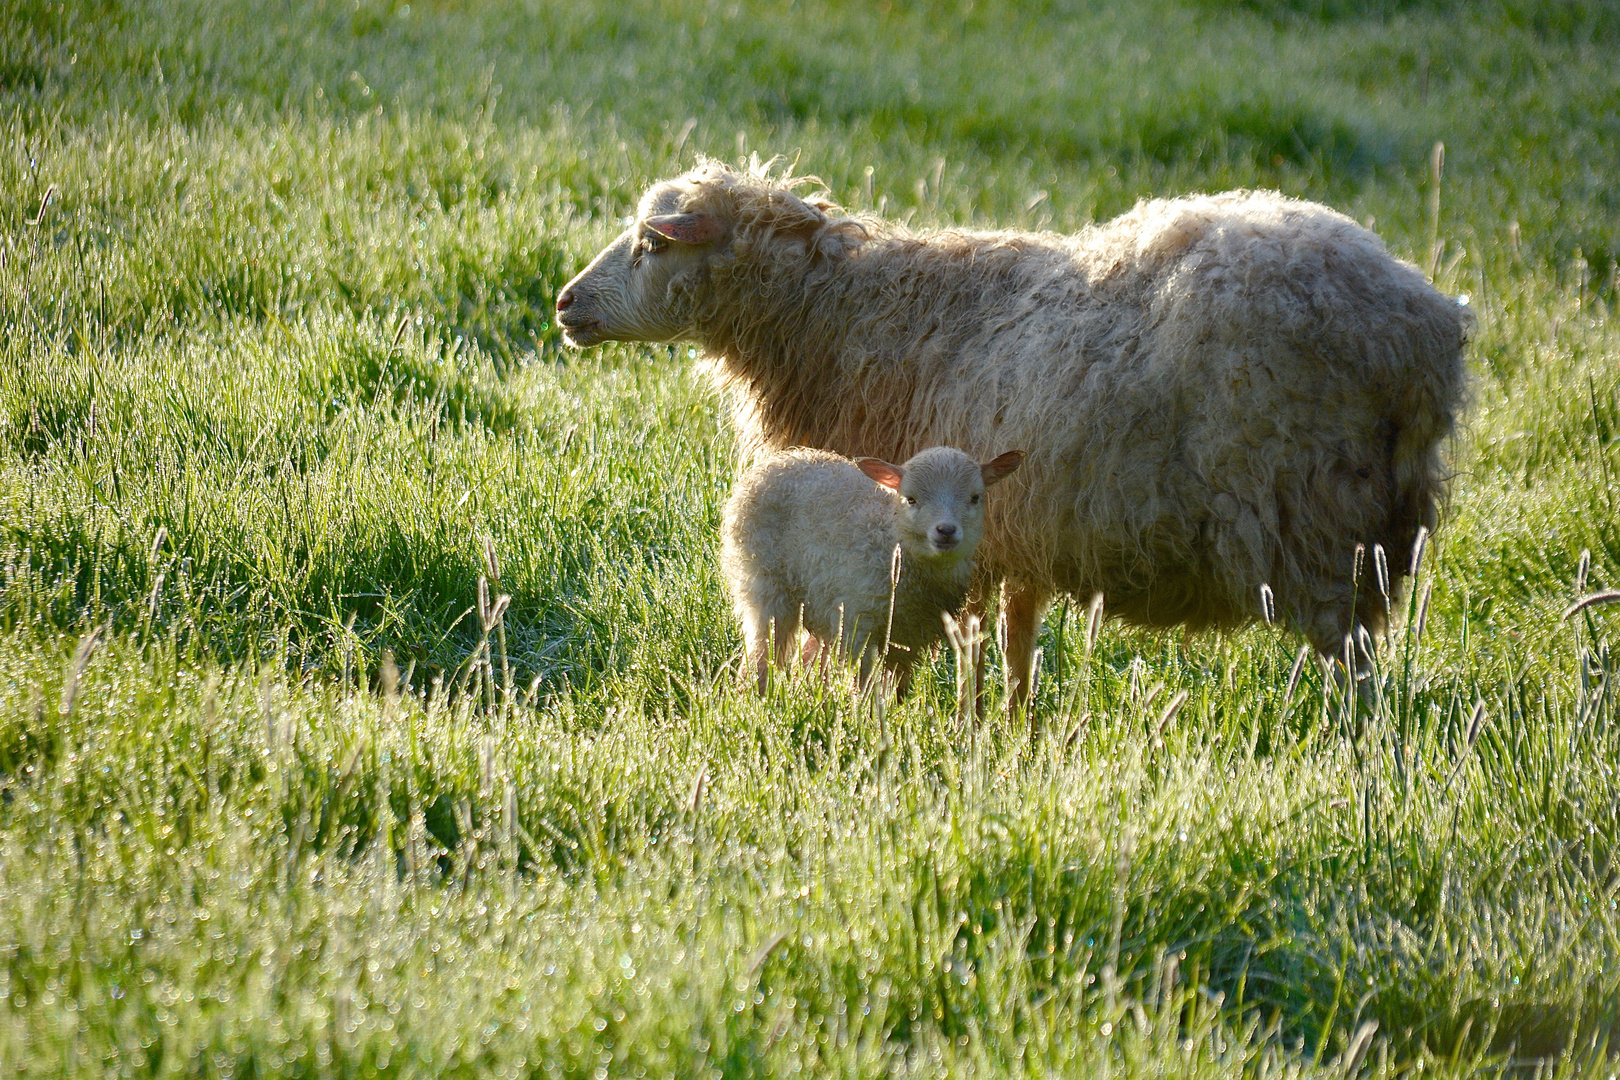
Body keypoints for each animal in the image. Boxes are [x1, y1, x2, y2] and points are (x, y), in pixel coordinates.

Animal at [725, 446, 1023, 693]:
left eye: (975, 498)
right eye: (911, 499)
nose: (946, 531)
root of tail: (778, 460)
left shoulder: (909, 636)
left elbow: (895, 684)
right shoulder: (858, 622)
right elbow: (864, 682)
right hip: (765, 584)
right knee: (763, 649)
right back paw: (757, 694)